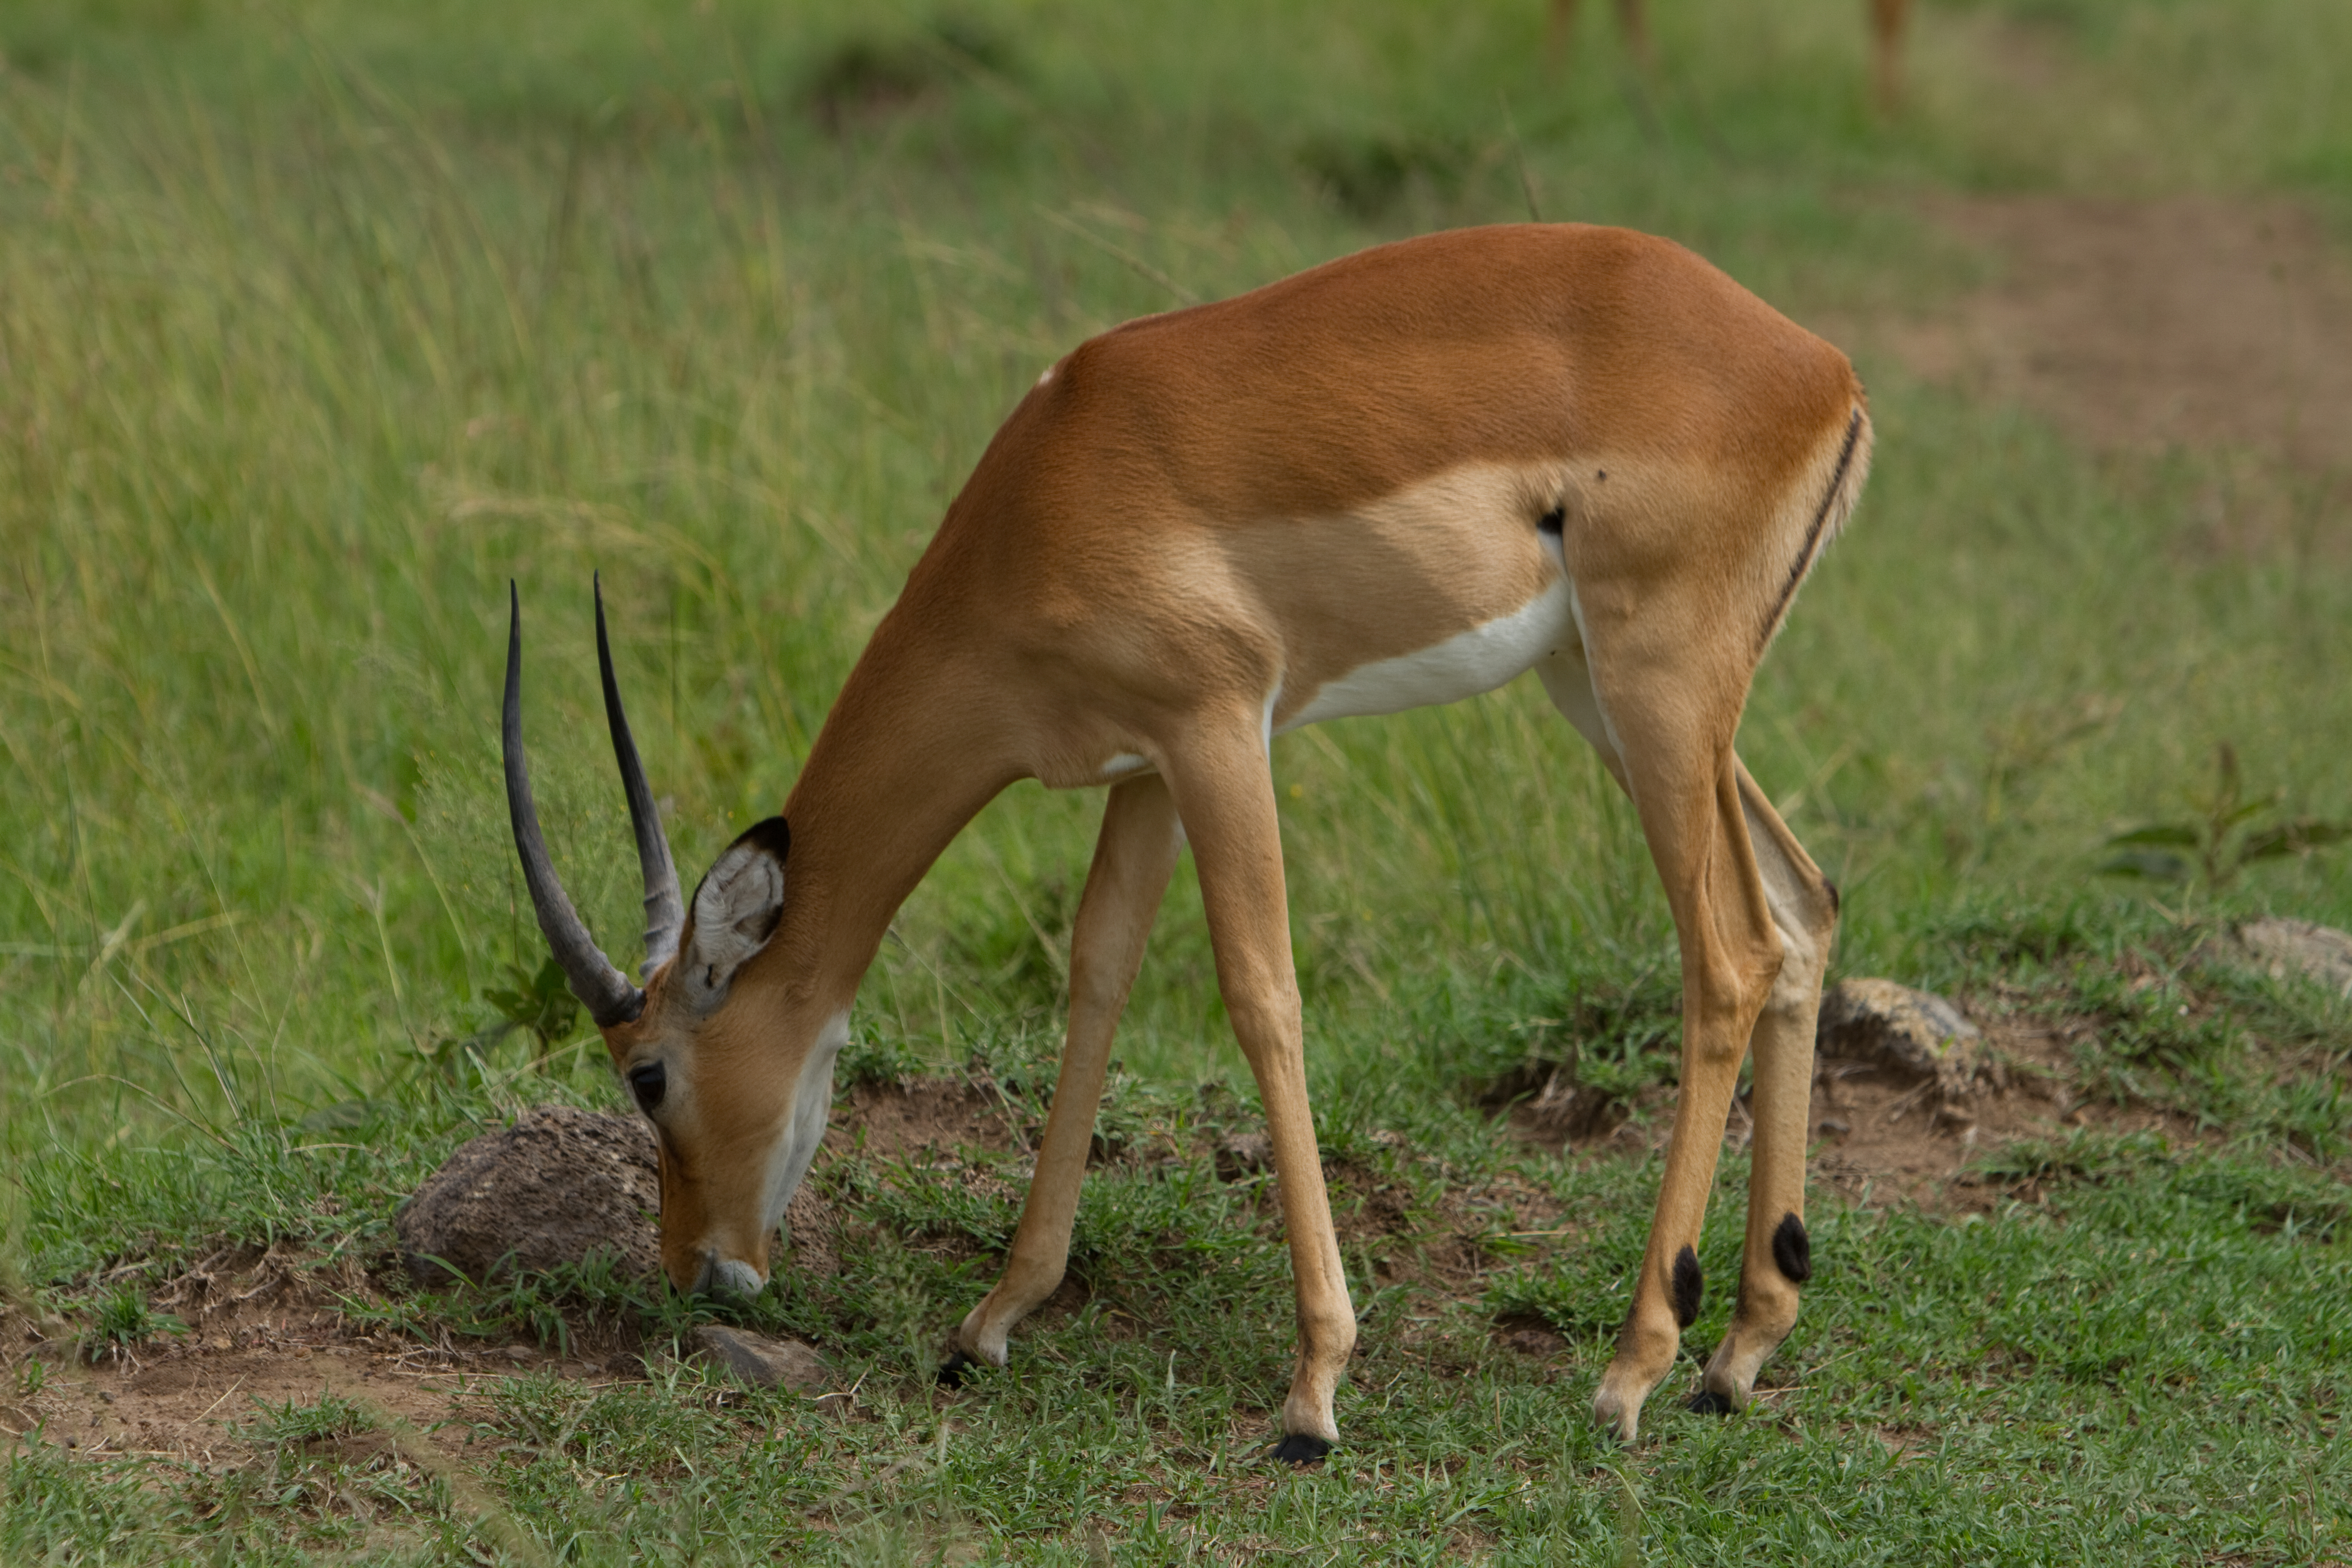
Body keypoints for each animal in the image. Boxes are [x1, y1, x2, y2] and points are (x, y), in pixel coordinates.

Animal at [502, 223, 1869, 1457]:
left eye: (648, 1073)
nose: (698, 1267)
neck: (1043, 494)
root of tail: (1822, 369)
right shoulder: (1144, 766)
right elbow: (1098, 976)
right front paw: (988, 1322)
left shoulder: (1220, 728)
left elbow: (1261, 994)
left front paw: (1313, 1392)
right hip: (1607, 689)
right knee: (1804, 909)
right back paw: (1736, 1358)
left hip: (1654, 686)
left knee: (1730, 957)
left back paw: (1632, 1372)